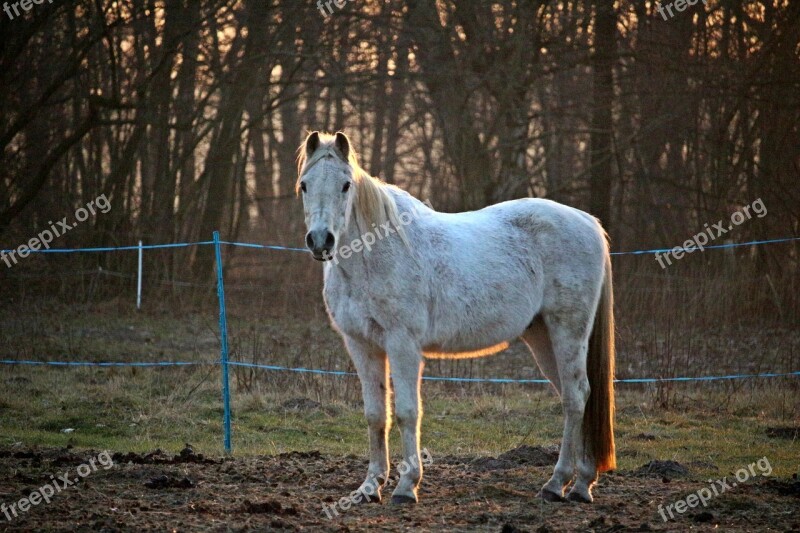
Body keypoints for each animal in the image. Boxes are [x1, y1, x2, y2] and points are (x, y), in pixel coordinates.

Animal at [296, 130, 616, 502]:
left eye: (346, 185)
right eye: (304, 185)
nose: (321, 240)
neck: (377, 252)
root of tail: (588, 222)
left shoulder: (403, 344)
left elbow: (407, 413)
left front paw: (406, 486)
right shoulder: (362, 345)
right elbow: (376, 415)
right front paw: (370, 486)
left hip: (569, 329)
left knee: (577, 397)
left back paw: (559, 483)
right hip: (541, 336)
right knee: (573, 396)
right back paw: (579, 483)